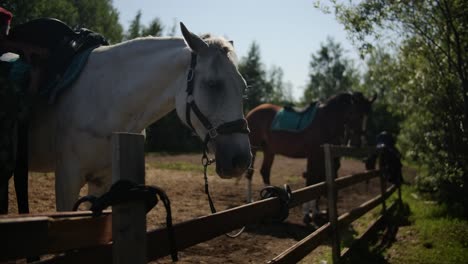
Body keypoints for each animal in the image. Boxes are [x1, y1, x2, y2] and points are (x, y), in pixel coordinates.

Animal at [245, 93, 376, 223]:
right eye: (353, 113)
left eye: (368, 115)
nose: (358, 143)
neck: (326, 121)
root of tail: (251, 112)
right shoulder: (313, 156)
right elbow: (311, 181)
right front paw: (307, 213)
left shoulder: (321, 157)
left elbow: (317, 182)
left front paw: (315, 212)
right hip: (253, 149)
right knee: (250, 172)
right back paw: (250, 201)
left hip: (269, 151)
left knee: (265, 172)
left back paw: (268, 198)